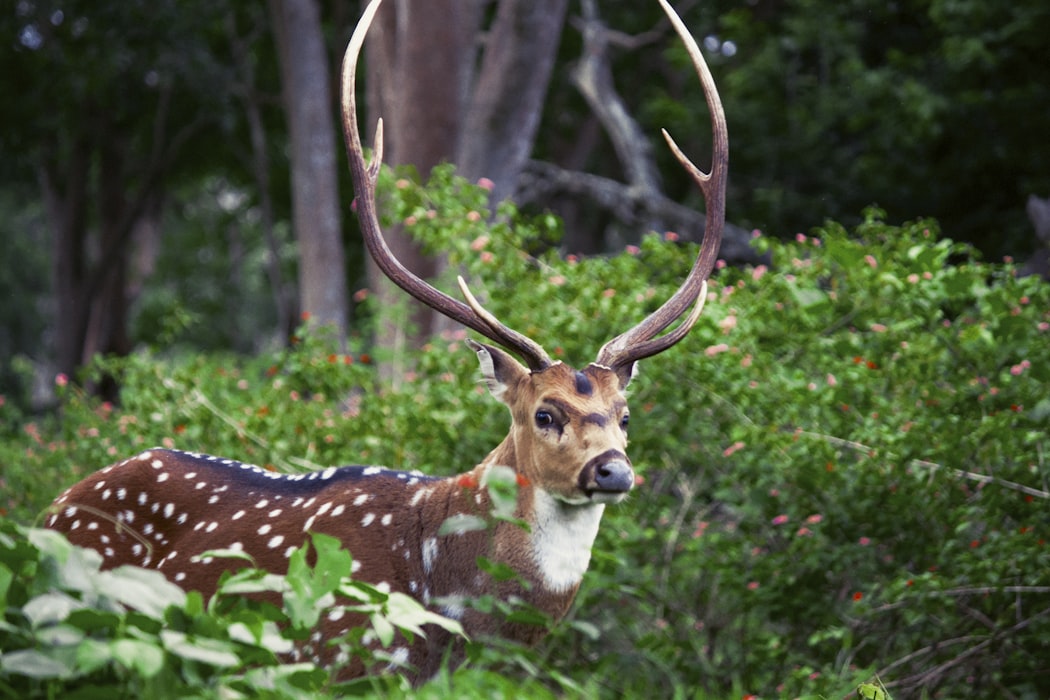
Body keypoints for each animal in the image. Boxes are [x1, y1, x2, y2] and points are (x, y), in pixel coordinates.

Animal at [47, 0, 722, 684]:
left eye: (625, 414)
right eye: (545, 413)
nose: (614, 469)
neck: (448, 608)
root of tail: (54, 505)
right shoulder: (336, 659)